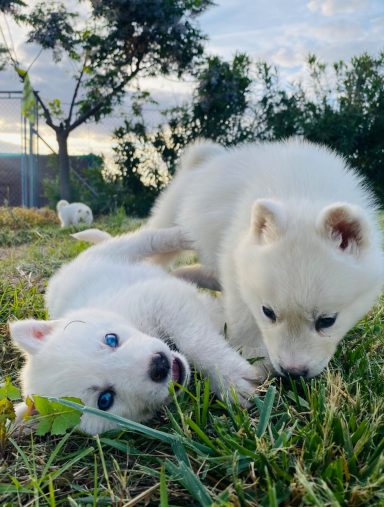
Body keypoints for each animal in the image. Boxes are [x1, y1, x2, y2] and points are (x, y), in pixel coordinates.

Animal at [8, 228, 260, 434]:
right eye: (105, 400)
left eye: (111, 339)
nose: (159, 365)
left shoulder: (158, 298)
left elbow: (195, 342)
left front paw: (230, 377)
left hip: (119, 251)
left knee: (150, 239)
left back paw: (188, 236)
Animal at [148, 139, 384, 380]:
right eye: (268, 312)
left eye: (327, 321)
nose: (293, 372)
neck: (303, 193)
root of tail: (204, 160)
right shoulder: (234, 262)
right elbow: (242, 317)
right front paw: (253, 359)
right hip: (169, 223)